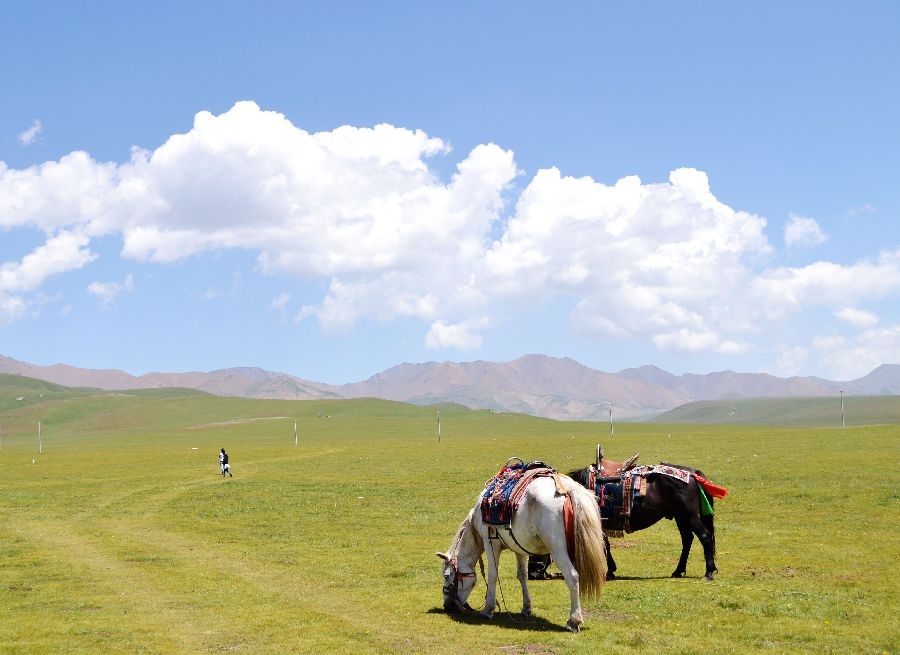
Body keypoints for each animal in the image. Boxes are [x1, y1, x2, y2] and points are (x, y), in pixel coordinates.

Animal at [436, 474, 604, 632]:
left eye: (446, 576)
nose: (447, 606)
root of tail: (568, 488)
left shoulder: (491, 543)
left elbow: (492, 576)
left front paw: (488, 609)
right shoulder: (520, 548)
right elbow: (522, 576)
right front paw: (526, 608)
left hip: (558, 551)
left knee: (573, 577)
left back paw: (574, 621)